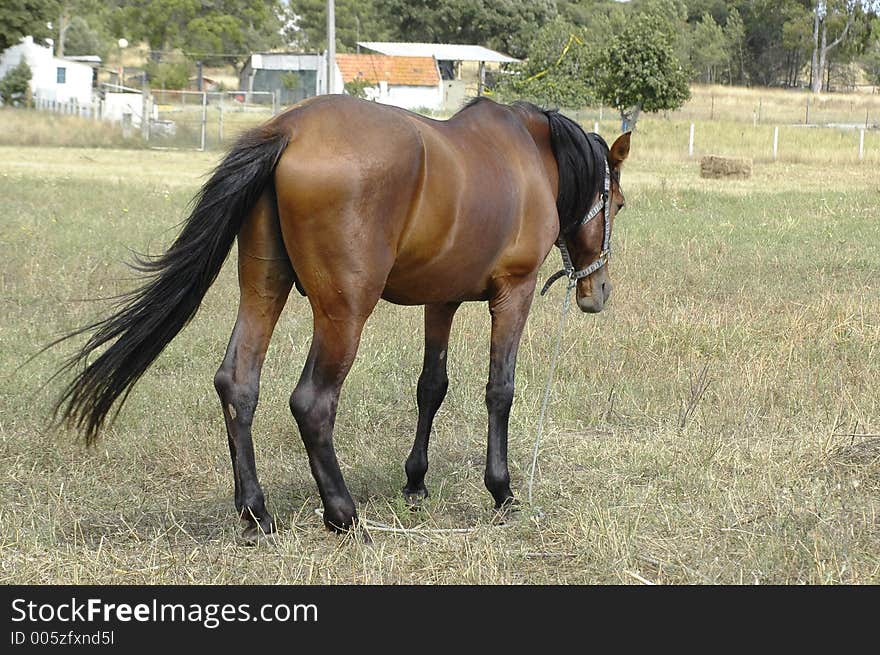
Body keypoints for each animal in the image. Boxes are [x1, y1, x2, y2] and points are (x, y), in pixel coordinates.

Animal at [55, 95, 628, 540]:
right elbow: (500, 390)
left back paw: (256, 516)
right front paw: (503, 492)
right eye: (618, 204)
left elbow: (431, 386)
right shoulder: (514, 293)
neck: (525, 154)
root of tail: (289, 130)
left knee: (237, 383)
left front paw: (415, 482)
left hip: (263, 287)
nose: (598, 291)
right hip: (345, 311)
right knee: (312, 403)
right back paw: (343, 516)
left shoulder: (440, 300)